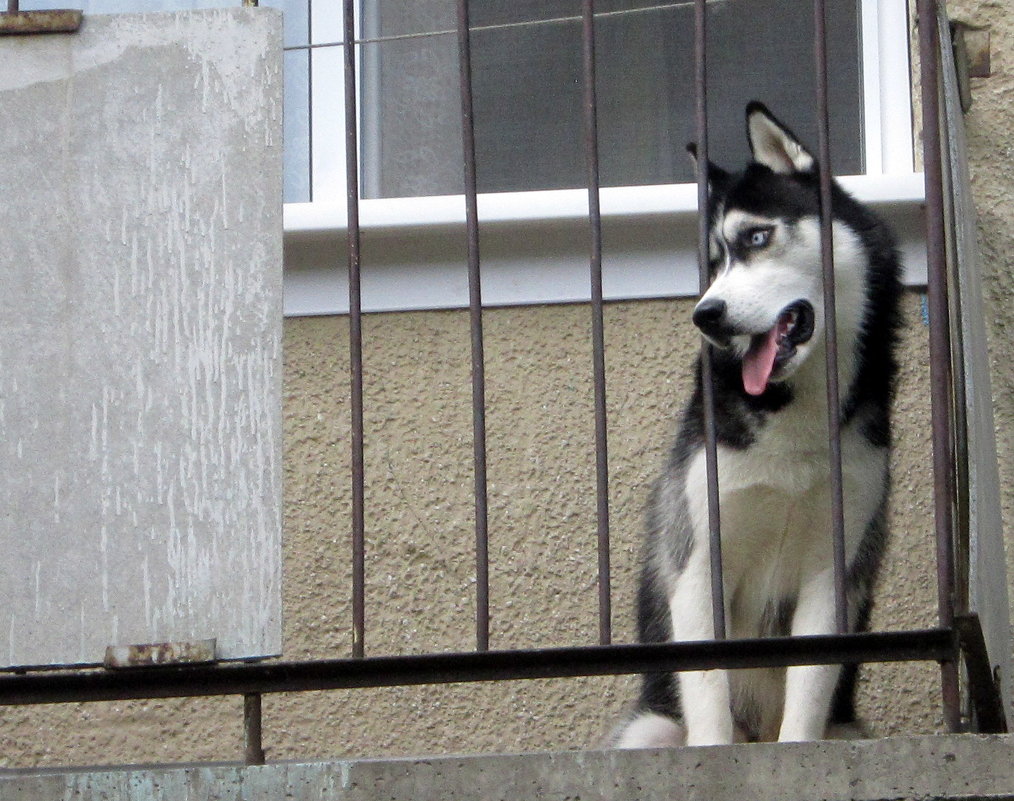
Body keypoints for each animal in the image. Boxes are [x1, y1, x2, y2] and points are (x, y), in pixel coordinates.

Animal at [612, 103, 900, 750]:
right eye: (715, 262)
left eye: (757, 238)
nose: (706, 315)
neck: (792, 419)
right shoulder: (698, 564)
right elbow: (708, 691)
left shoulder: (830, 572)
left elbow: (808, 691)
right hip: (649, 731)